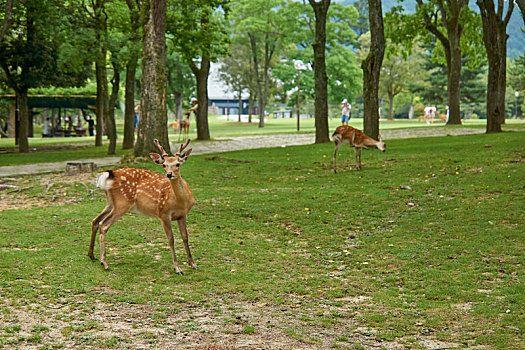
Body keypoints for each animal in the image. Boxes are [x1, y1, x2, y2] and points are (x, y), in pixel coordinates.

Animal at [90, 138, 196, 274]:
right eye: (164, 164)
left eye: (178, 163)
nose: (169, 174)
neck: (180, 201)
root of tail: (110, 174)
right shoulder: (163, 213)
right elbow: (171, 239)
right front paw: (177, 268)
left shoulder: (182, 215)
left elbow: (185, 237)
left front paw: (193, 263)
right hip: (122, 202)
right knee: (103, 224)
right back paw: (105, 263)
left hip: (110, 202)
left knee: (95, 220)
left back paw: (92, 256)